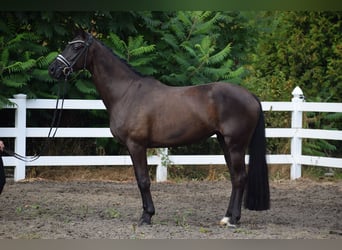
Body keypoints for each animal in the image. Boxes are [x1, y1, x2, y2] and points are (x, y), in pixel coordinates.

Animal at [48, 30, 270, 228]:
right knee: (234, 178)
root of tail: (251, 96)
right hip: (225, 142)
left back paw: (233, 220)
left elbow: (143, 180)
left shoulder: (136, 145)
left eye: (76, 47)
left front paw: (146, 217)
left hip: (236, 144)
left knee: (240, 178)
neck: (126, 93)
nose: (53, 69)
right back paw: (227, 217)